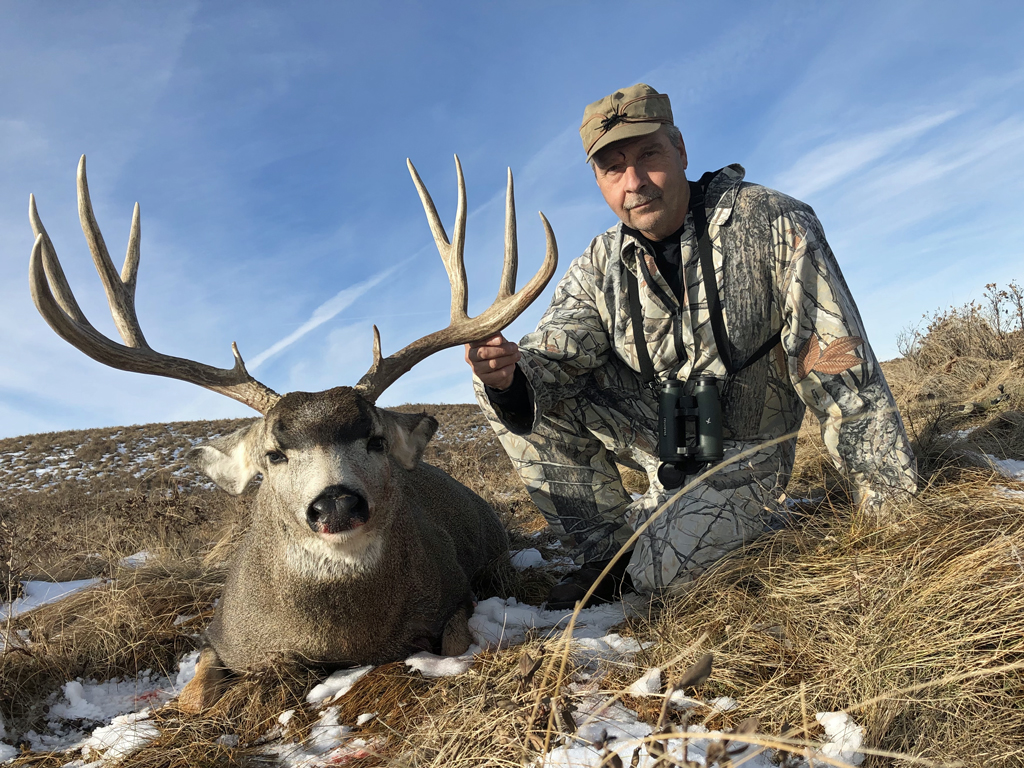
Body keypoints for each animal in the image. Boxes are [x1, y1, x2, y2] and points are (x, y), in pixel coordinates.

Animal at [28, 157, 557, 716]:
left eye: (375, 440)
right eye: (273, 455)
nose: (337, 504)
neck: (344, 640)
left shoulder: (455, 591)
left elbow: (456, 642)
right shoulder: (220, 635)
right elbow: (194, 698)